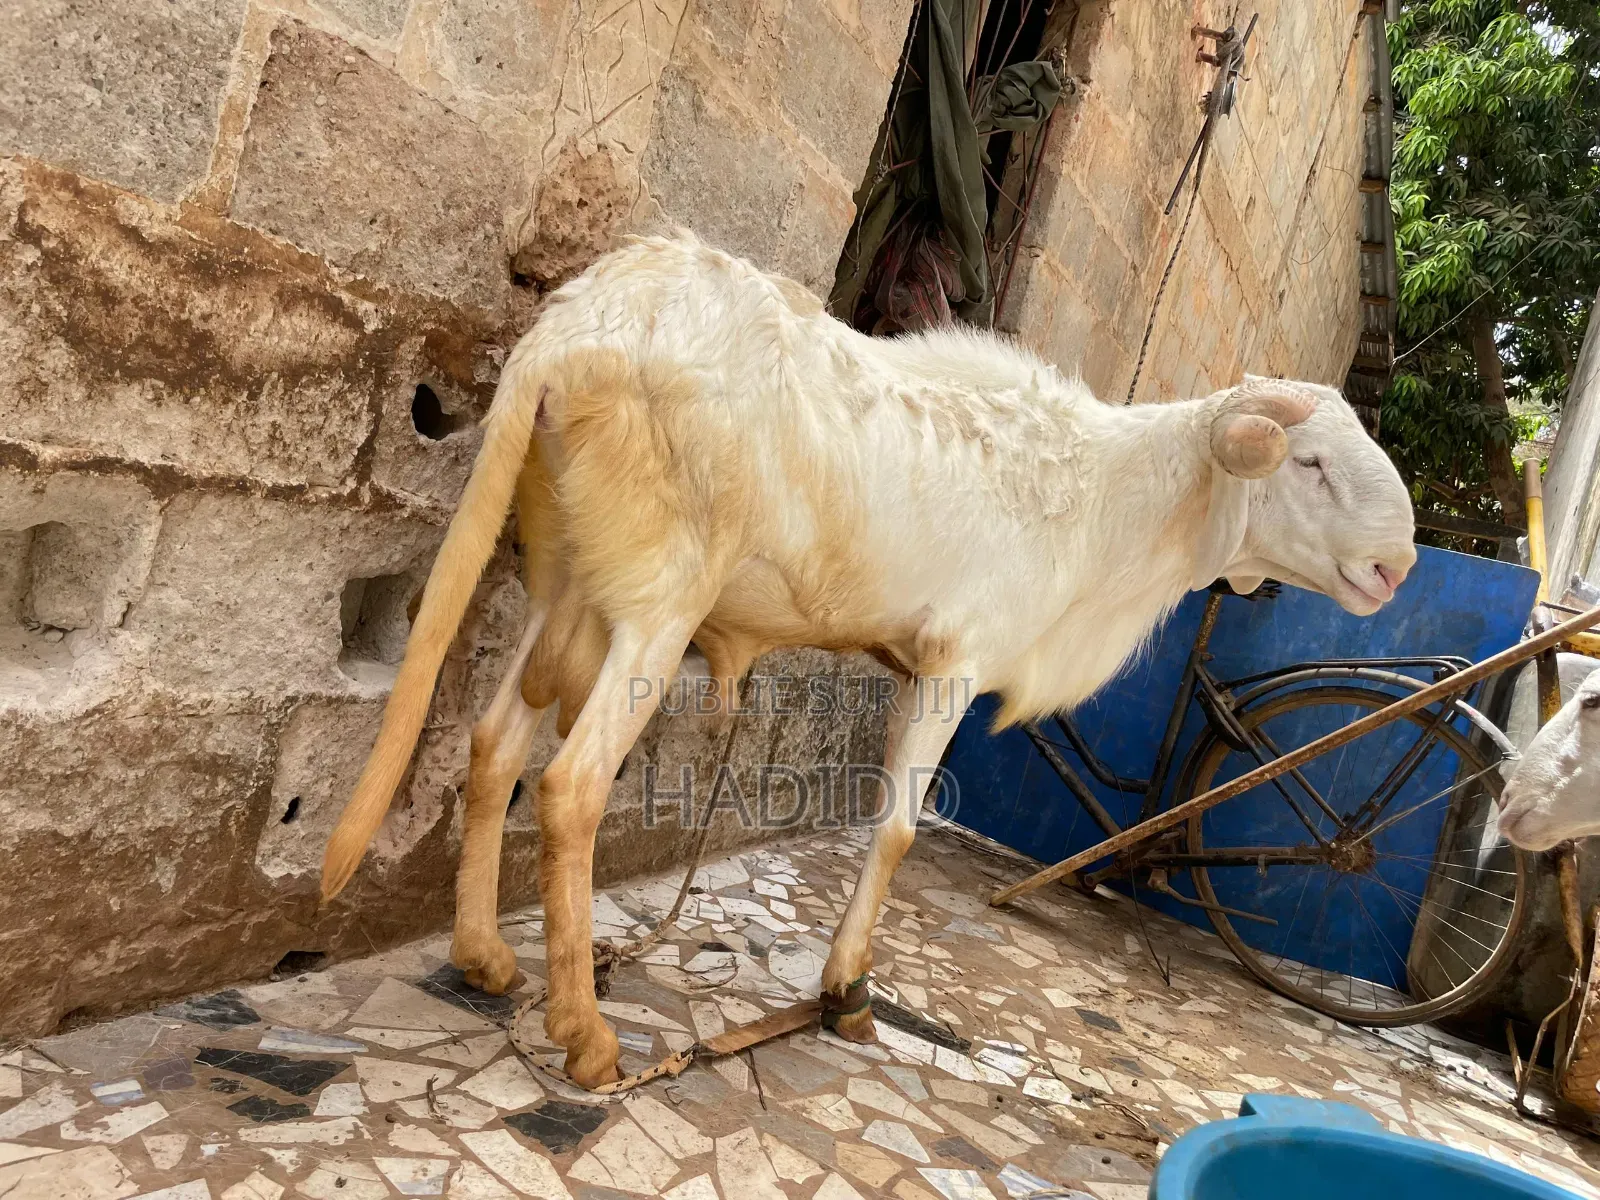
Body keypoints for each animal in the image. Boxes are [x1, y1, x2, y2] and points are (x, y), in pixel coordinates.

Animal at [318, 229, 1417, 1089]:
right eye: (1310, 463)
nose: (1397, 565)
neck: (1102, 499)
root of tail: (580, 326)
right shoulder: (953, 664)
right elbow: (894, 832)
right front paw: (844, 988)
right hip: (660, 595)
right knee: (570, 786)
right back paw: (584, 1034)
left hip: (565, 576)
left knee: (494, 743)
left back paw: (484, 957)